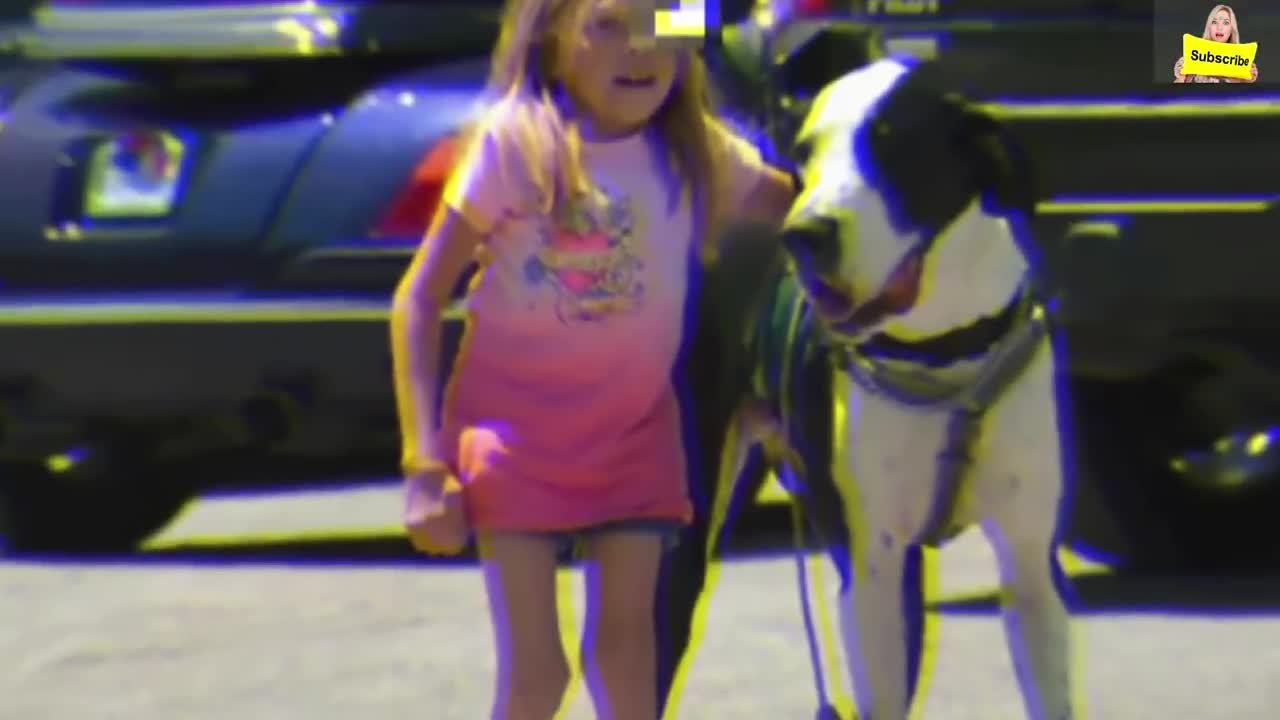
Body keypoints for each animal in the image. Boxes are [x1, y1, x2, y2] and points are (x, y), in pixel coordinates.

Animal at [711, 60, 1080, 717]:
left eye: (894, 144)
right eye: (807, 152)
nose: (805, 233)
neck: (942, 357)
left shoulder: (1033, 567)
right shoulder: (874, 574)